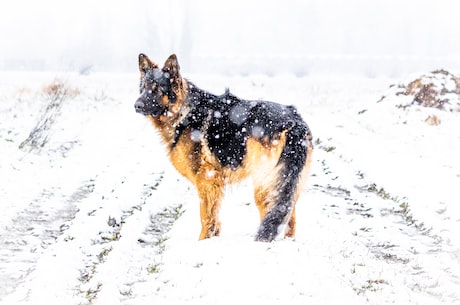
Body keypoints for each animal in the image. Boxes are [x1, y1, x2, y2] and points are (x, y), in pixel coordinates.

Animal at [134, 53, 312, 241]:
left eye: (157, 89)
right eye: (143, 88)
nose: (136, 105)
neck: (184, 112)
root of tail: (294, 122)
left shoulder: (207, 179)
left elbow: (206, 217)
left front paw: (203, 241)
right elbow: (213, 217)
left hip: (265, 183)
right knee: (288, 217)